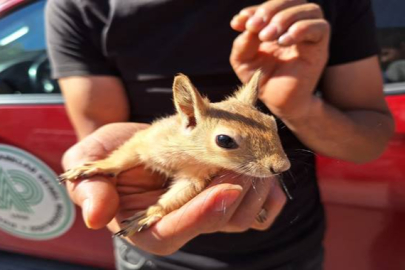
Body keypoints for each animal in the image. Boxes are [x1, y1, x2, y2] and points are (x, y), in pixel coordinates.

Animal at [58, 70, 288, 237]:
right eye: (224, 140)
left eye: (272, 122)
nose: (283, 166)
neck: (189, 154)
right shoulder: (147, 140)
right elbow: (124, 156)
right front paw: (100, 166)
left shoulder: (195, 178)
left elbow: (178, 195)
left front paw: (149, 214)